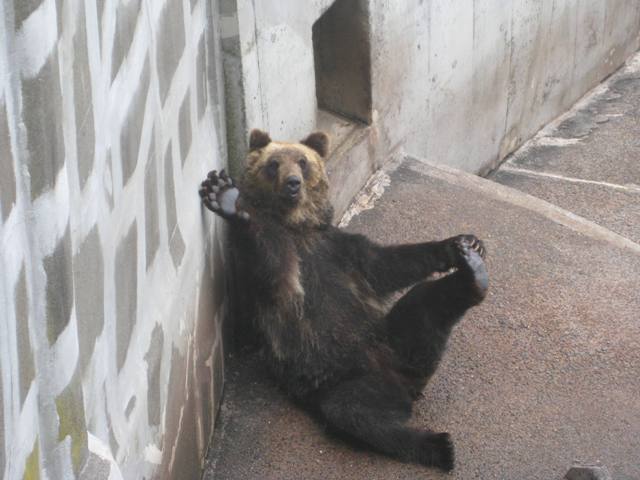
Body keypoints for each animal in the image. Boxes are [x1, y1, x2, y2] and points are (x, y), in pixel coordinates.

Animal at [198, 129, 488, 471]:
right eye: (273, 164)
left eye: (302, 161)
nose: (293, 183)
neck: (298, 227)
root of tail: (401, 384)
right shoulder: (268, 275)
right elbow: (273, 269)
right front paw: (226, 197)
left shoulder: (342, 249)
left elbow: (388, 264)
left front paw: (463, 243)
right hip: (341, 380)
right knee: (356, 414)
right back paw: (438, 446)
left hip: (390, 337)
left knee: (423, 304)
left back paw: (473, 274)